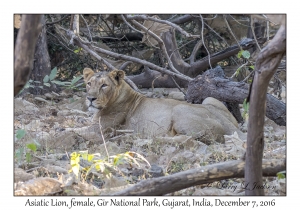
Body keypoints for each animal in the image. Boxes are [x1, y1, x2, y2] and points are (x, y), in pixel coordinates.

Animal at [82, 68, 244, 144]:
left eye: (104, 85)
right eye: (89, 83)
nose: (90, 98)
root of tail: (230, 125)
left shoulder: (99, 128)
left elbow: (78, 131)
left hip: (179, 109)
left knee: (188, 138)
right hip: (210, 99)